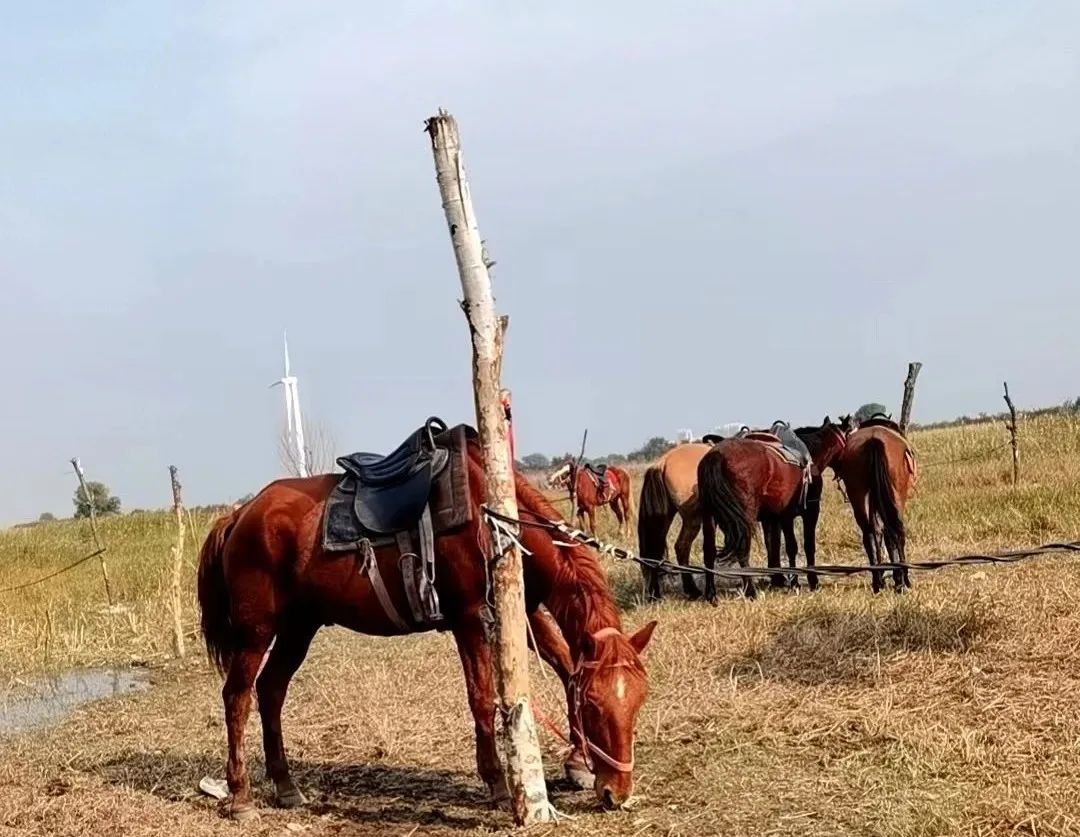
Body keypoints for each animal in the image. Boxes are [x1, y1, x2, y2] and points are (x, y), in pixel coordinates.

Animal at [201, 419, 656, 816]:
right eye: (595, 705)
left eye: (638, 699)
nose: (617, 793)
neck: (495, 523)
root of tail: (240, 514)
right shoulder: (471, 619)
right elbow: (481, 697)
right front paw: (497, 784)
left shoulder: (523, 613)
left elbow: (564, 665)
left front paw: (577, 762)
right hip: (257, 631)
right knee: (237, 696)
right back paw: (241, 796)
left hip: (300, 627)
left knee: (271, 690)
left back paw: (285, 786)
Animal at [695, 419, 855, 600]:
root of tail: (716, 455)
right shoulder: (805, 513)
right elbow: (803, 546)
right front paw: (807, 581)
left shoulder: (773, 517)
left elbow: (774, 545)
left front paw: (779, 579)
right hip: (744, 518)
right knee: (742, 549)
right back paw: (750, 591)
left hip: (709, 515)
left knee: (708, 551)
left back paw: (711, 593)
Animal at [829, 414, 915, 596]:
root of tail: (874, 440)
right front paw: (900, 579)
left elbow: (878, 534)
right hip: (895, 497)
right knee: (895, 533)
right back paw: (901, 581)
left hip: (860, 496)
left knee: (870, 534)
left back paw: (878, 581)